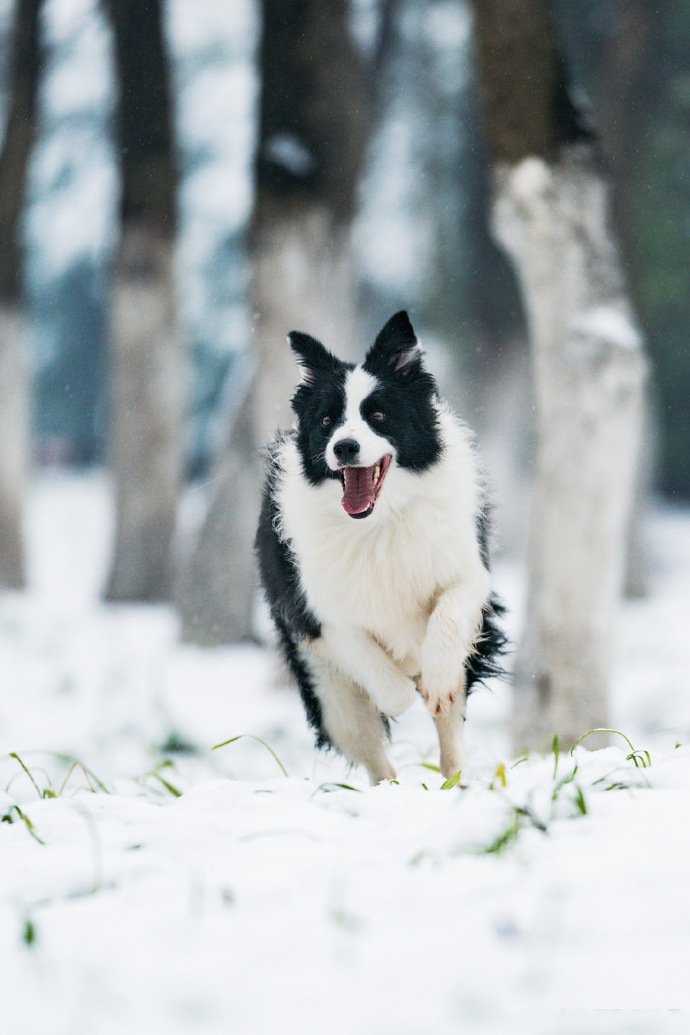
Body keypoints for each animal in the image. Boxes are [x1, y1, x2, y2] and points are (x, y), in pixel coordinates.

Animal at [256, 310, 504, 778]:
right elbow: (375, 669)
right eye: (326, 422)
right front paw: (400, 694)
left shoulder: (468, 572)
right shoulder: (316, 612)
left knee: (450, 732)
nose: (344, 447)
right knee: (371, 752)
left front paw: (434, 679)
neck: (380, 522)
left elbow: (449, 613)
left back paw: (457, 779)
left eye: (379, 415)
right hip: (329, 693)